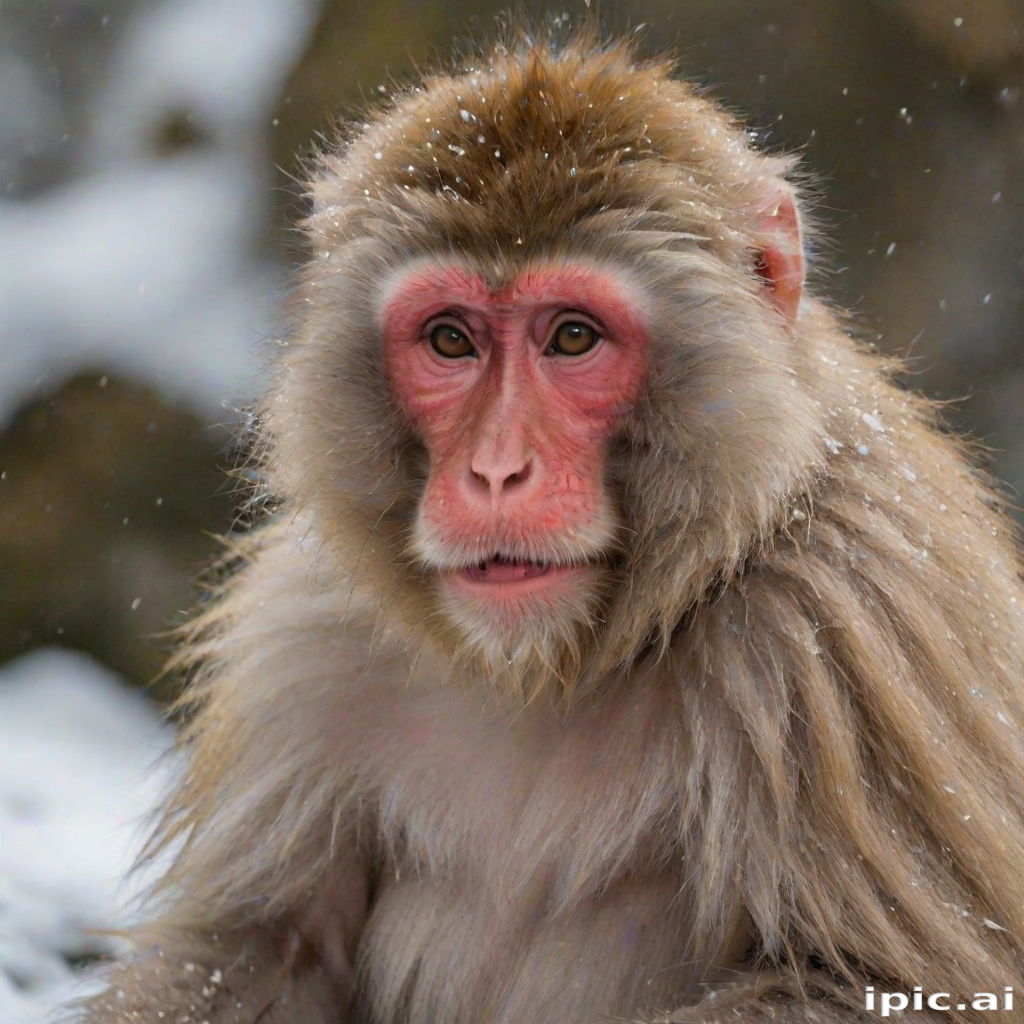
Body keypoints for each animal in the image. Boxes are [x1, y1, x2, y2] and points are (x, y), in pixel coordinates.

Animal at [76, 32, 1024, 1024]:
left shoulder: (845, 630)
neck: (553, 666)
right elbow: (249, 951)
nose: (496, 470)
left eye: (572, 337)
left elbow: (875, 981)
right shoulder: (307, 638)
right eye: (451, 341)